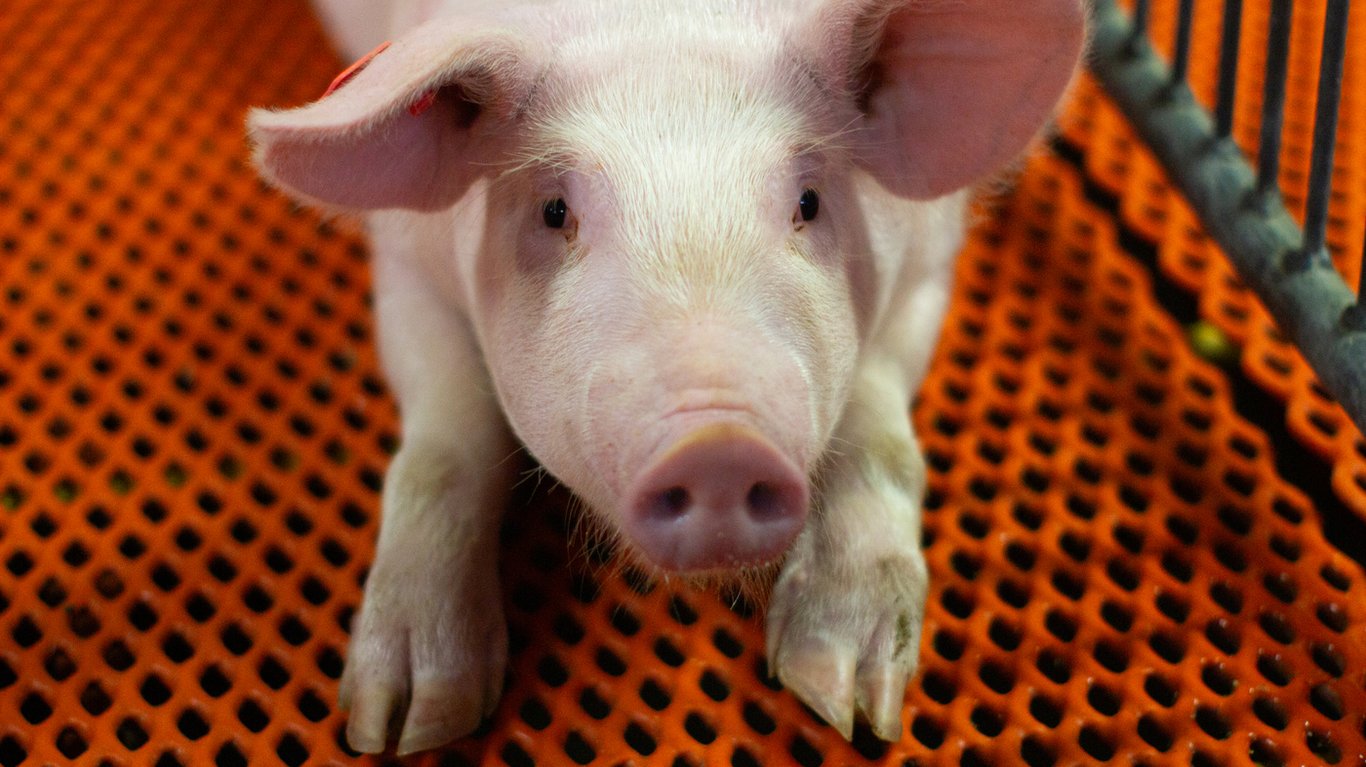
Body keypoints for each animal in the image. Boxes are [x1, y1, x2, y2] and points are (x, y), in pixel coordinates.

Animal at [248, 0, 1084, 754]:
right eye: (554, 210)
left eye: (809, 202)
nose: (718, 445)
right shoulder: (405, 268)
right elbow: (442, 453)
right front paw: (404, 725)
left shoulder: (927, 261)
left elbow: (882, 441)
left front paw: (844, 702)